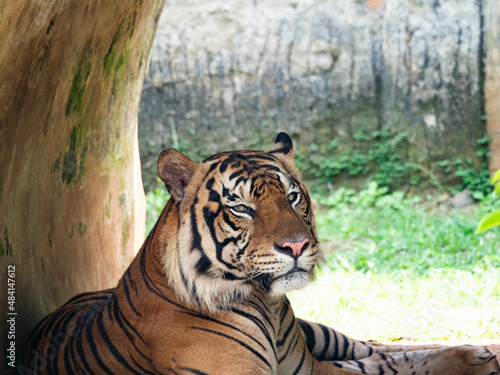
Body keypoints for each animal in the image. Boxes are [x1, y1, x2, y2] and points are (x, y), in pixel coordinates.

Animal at [23, 134, 500, 374]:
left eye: (292, 196)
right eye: (241, 208)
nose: (297, 246)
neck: (265, 305)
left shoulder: (309, 369)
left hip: (319, 333)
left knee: (374, 348)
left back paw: (479, 354)